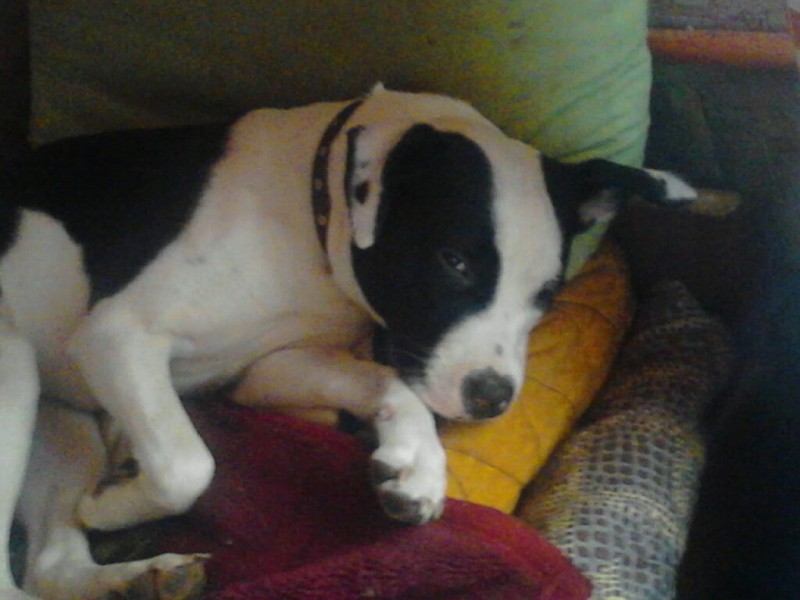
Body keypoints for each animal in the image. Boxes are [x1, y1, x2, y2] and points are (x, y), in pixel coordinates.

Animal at [0, 85, 695, 599]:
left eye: (547, 292)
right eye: (453, 261)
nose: (492, 399)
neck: (303, 217)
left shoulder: (269, 366)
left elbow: (386, 380)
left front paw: (417, 462)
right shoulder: (118, 336)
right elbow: (188, 463)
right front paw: (114, 505)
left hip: (61, 428)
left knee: (49, 569)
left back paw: (137, 576)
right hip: (17, 374)